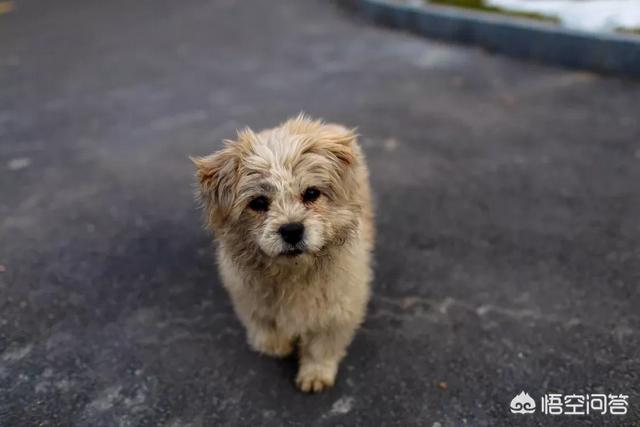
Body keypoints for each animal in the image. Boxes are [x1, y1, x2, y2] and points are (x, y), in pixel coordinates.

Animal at [192, 115, 372, 392]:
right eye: (258, 203)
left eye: (311, 193)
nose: (292, 230)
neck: (293, 274)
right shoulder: (250, 298)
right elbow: (266, 328)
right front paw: (276, 346)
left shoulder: (338, 310)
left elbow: (321, 348)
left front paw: (315, 374)